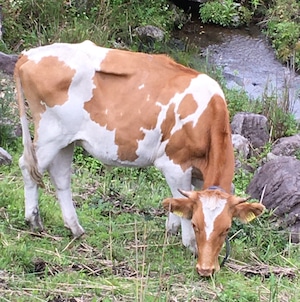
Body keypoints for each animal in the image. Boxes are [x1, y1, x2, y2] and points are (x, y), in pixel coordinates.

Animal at [14, 40, 264, 276]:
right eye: (196, 224)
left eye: (226, 229)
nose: (206, 269)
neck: (207, 116)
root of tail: (29, 54)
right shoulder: (174, 164)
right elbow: (181, 200)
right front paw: (190, 244)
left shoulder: (197, 174)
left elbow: (179, 201)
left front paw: (171, 229)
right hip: (51, 133)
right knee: (28, 166)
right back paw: (33, 220)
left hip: (67, 139)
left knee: (60, 177)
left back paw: (75, 228)